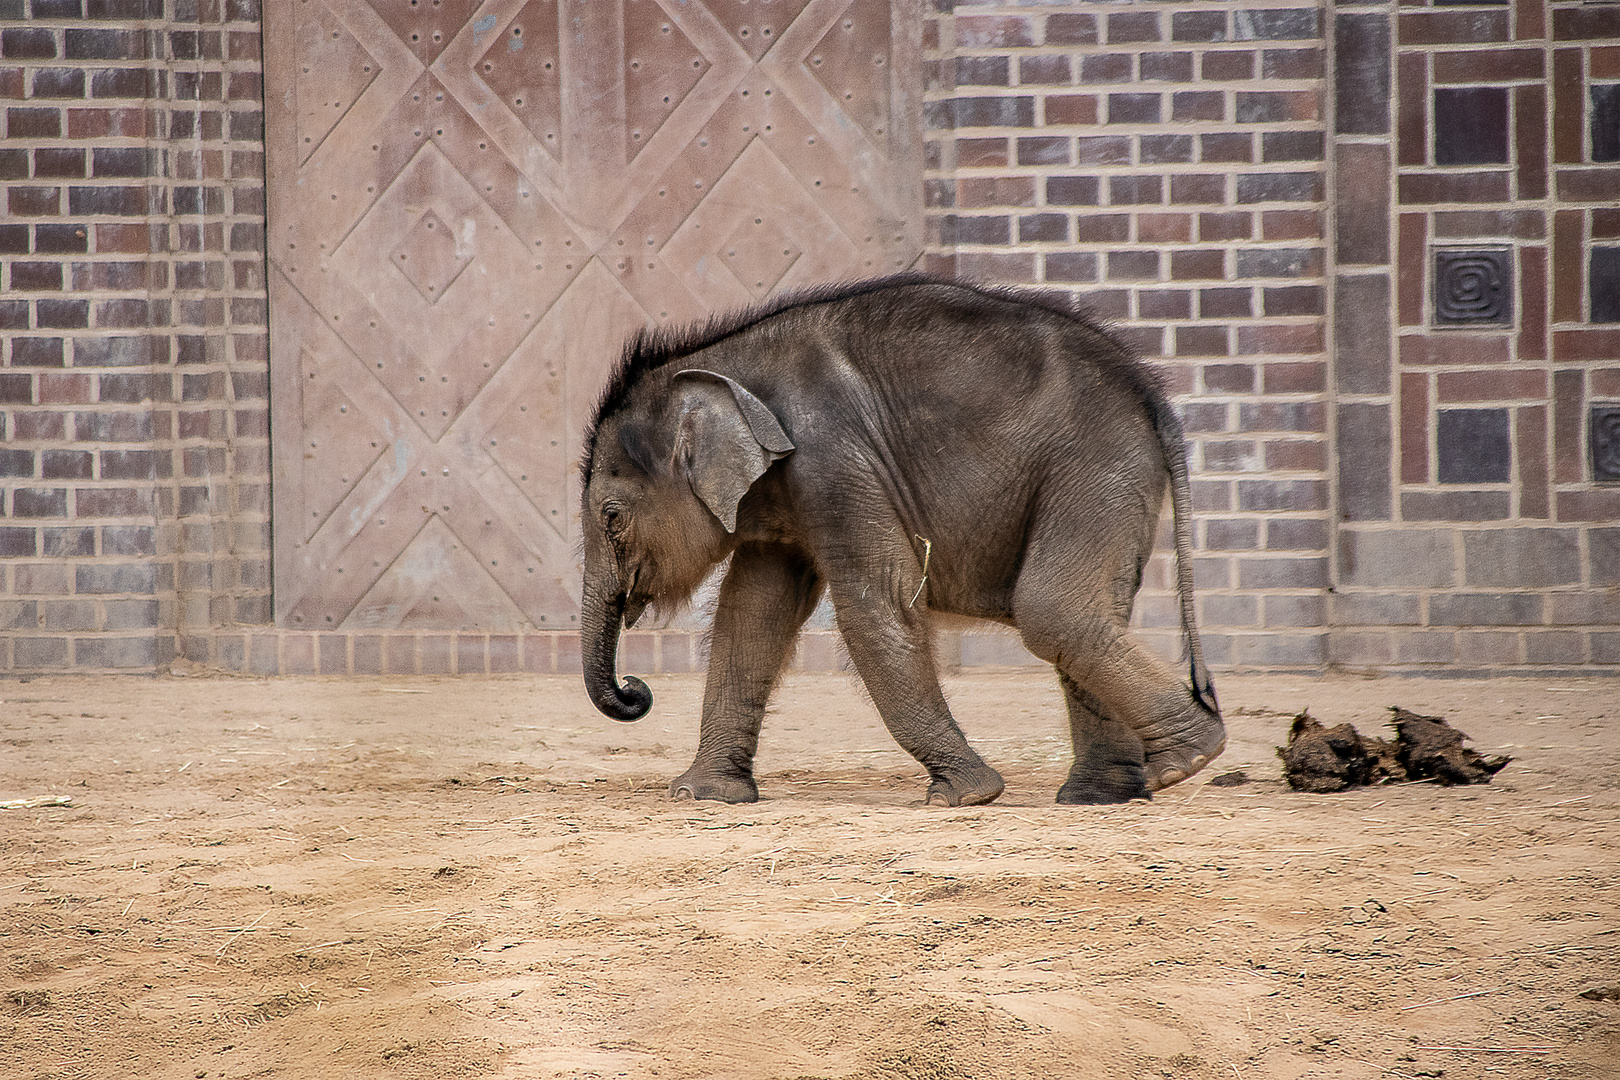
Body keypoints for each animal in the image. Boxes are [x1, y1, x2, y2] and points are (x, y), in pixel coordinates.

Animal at [576, 275, 1218, 806]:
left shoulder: (834, 457)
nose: (635, 690)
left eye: (611, 516)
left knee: (1053, 609)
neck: (720, 362)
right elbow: (753, 610)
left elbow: (876, 599)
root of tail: (1152, 393)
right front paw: (702, 796)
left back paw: (1185, 762)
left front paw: (966, 796)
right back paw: (1102, 797)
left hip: (1095, 466)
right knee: (1089, 612)